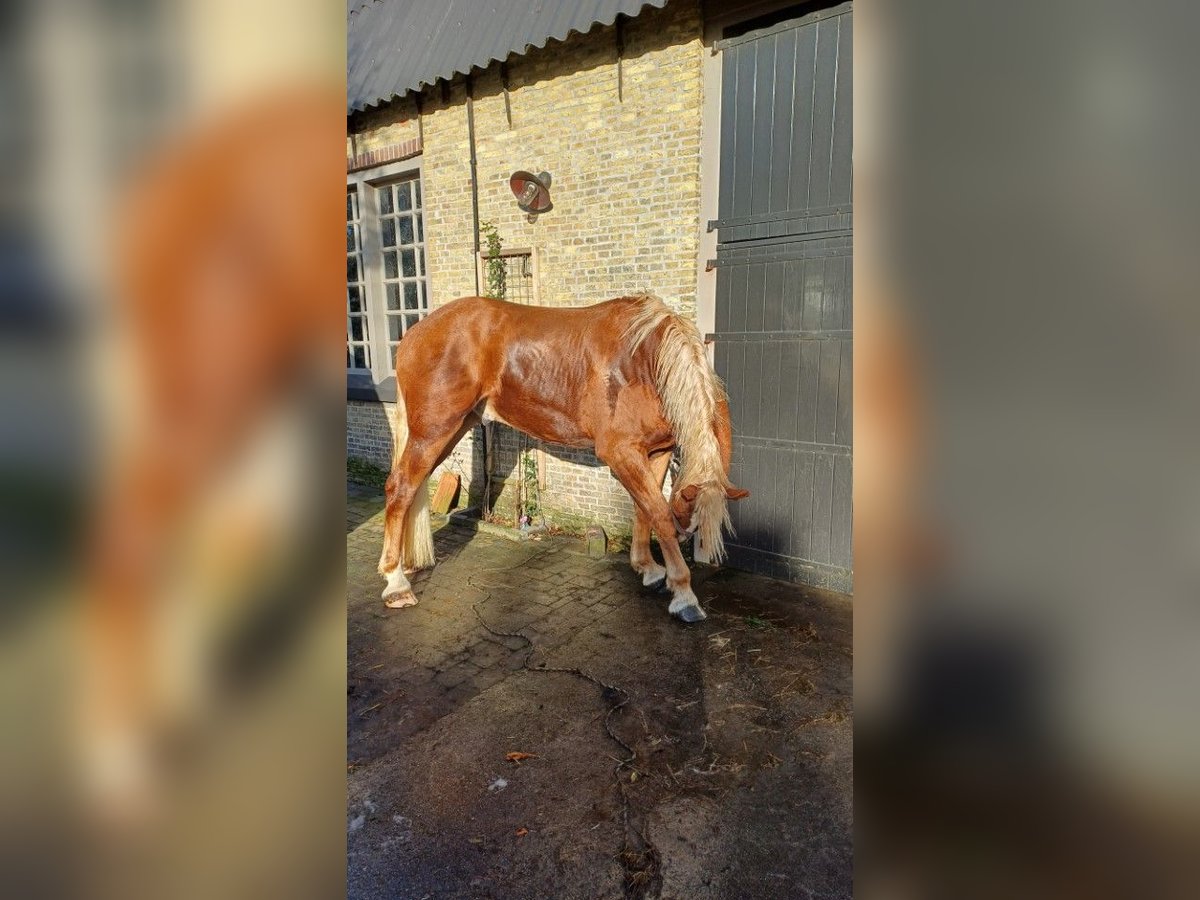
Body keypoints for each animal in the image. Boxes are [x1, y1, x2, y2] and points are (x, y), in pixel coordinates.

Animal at [379, 292, 744, 624]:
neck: (644, 360)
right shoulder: (621, 452)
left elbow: (645, 511)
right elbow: (659, 514)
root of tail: (414, 333)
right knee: (400, 489)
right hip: (433, 431)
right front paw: (683, 595)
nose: (691, 544)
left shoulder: (656, 452)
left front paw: (649, 569)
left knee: (412, 488)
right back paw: (396, 584)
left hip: (453, 428)